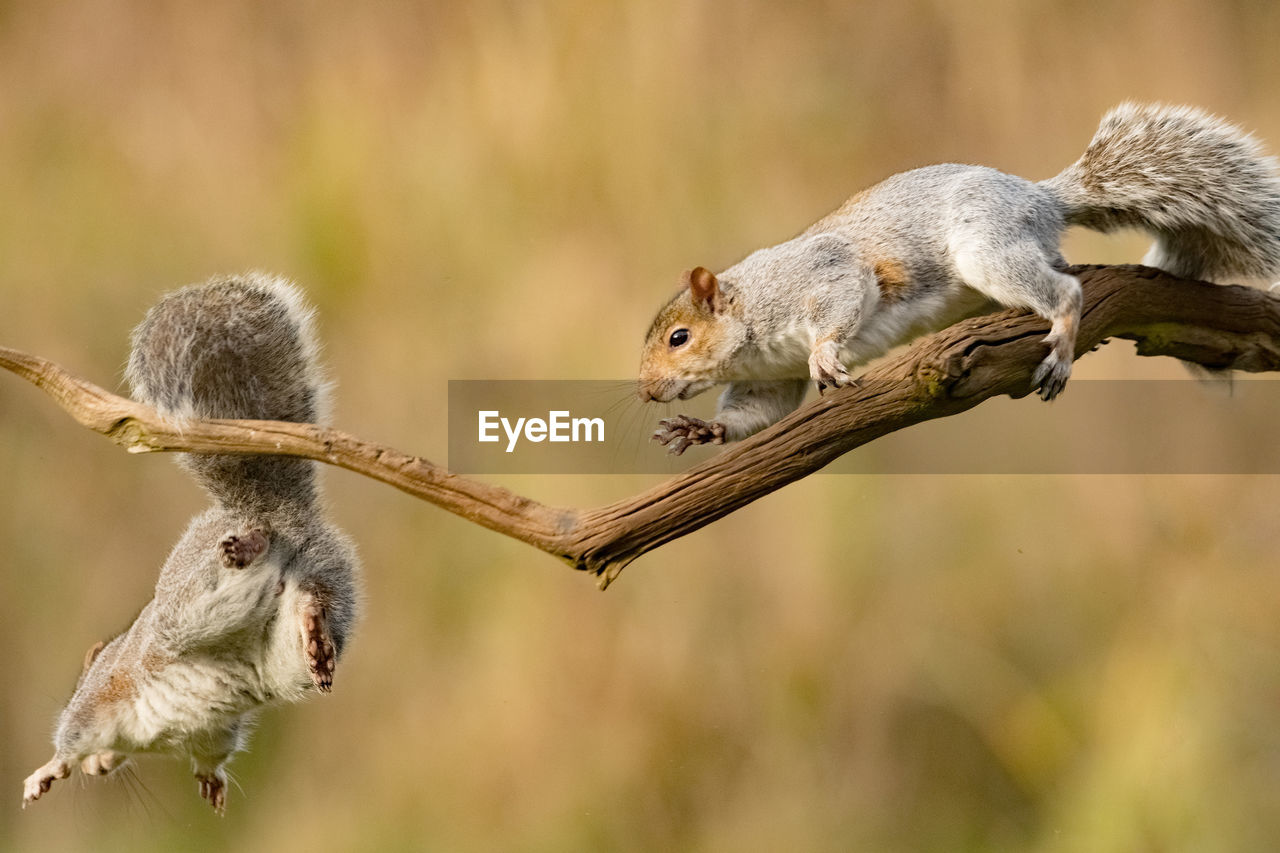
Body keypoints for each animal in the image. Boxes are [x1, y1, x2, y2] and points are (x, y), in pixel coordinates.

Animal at [21, 275, 360, 814]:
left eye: (78, 681)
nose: (102, 769)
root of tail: (274, 514)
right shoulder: (212, 732)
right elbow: (213, 754)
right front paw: (210, 782)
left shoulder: (93, 702)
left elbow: (68, 740)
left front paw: (48, 773)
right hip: (313, 598)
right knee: (312, 607)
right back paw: (314, 634)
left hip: (185, 612)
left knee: (222, 578)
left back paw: (247, 547)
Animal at [640, 101, 1280, 450]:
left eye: (679, 338)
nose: (646, 391)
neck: (750, 314)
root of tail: (1041, 199)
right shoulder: (769, 378)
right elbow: (756, 412)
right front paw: (702, 431)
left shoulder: (820, 277)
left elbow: (839, 303)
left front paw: (825, 353)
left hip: (987, 249)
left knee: (1068, 290)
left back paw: (1062, 340)